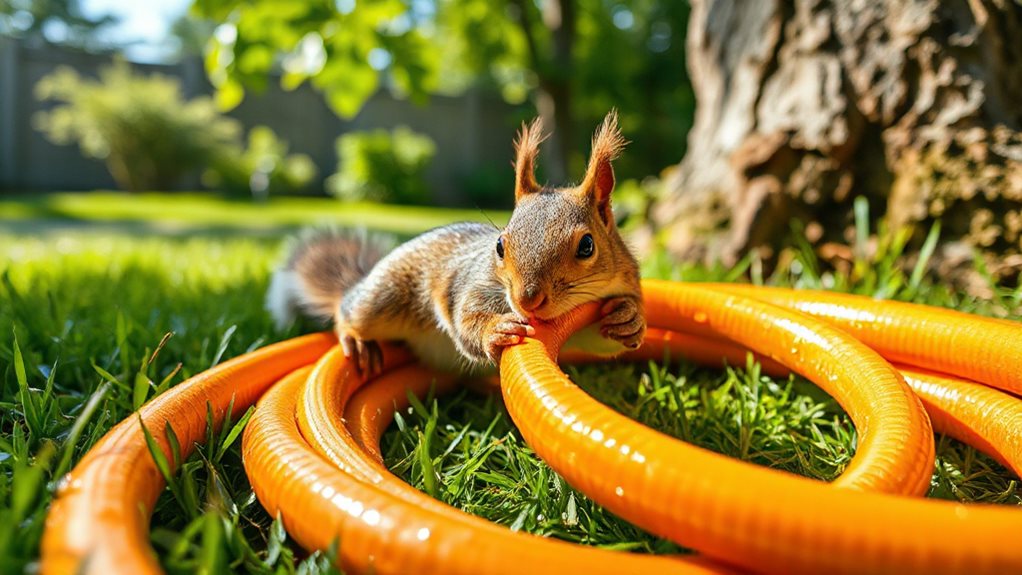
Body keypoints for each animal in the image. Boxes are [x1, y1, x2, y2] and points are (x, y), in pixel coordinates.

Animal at [266, 111, 645, 375]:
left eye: (587, 246)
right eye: (500, 245)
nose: (528, 300)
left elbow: (601, 344)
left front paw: (629, 318)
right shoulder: (470, 284)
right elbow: (465, 318)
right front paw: (495, 329)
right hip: (382, 299)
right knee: (348, 309)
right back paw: (356, 340)